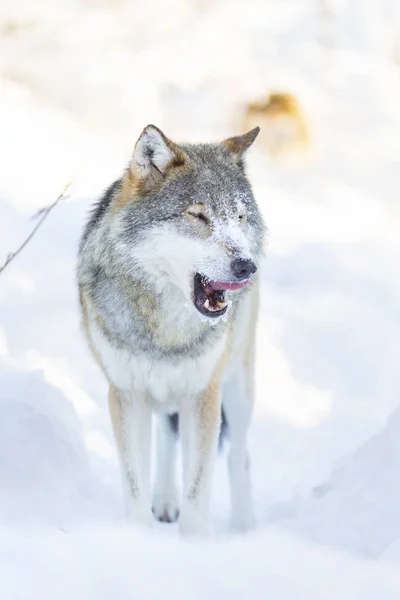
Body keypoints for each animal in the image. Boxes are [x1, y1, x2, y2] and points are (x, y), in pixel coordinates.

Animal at [77, 124, 266, 536]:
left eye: (240, 217)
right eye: (198, 216)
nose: (246, 266)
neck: (165, 332)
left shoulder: (202, 393)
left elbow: (198, 486)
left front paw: (193, 544)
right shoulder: (127, 393)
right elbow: (135, 484)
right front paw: (140, 537)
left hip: (238, 387)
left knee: (240, 455)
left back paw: (245, 527)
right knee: (167, 433)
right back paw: (164, 502)